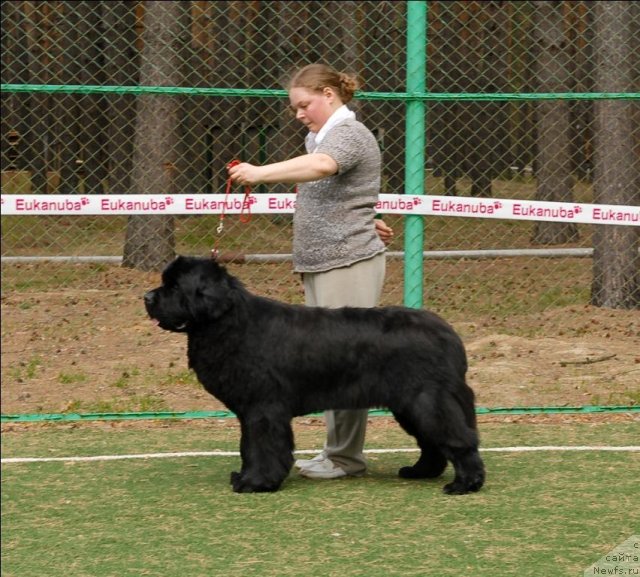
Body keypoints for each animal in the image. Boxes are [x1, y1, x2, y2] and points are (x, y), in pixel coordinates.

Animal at [145, 256, 484, 496]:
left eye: (175, 287)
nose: (147, 297)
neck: (228, 321)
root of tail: (448, 333)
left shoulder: (264, 409)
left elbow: (262, 446)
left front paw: (256, 483)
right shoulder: (250, 411)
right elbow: (248, 446)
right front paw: (244, 476)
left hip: (427, 400)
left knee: (458, 438)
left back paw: (465, 484)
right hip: (409, 405)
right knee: (431, 442)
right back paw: (420, 471)